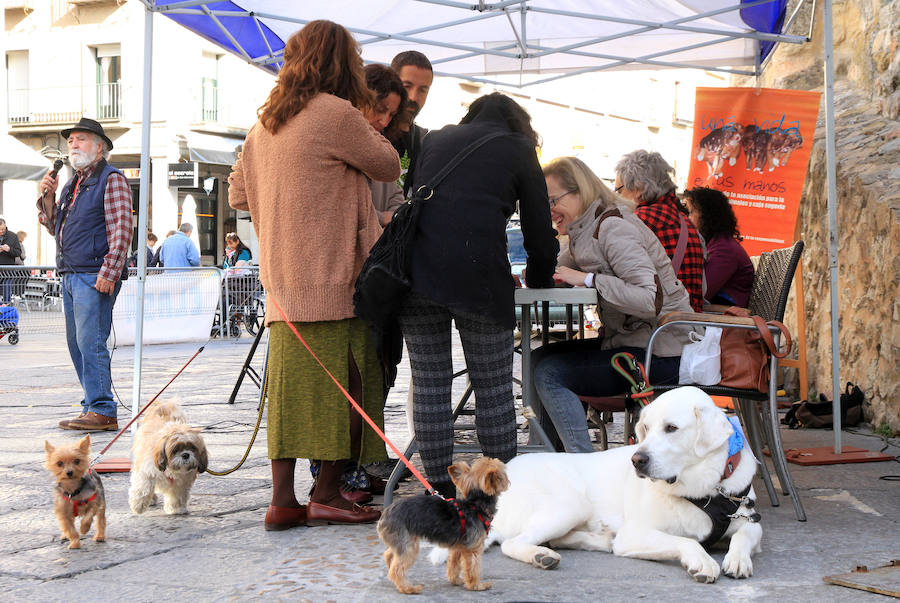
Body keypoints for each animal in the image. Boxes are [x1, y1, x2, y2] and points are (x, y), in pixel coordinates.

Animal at [376, 458, 510, 596]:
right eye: (502, 472)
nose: (500, 462)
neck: (476, 505)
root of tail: (385, 514)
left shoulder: (458, 547)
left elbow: (453, 565)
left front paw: (455, 580)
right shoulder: (473, 549)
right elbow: (473, 569)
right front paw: (477, 586)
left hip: (401, 541)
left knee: (389, 555)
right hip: (409, 546)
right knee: (396, 570)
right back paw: (408, 588)